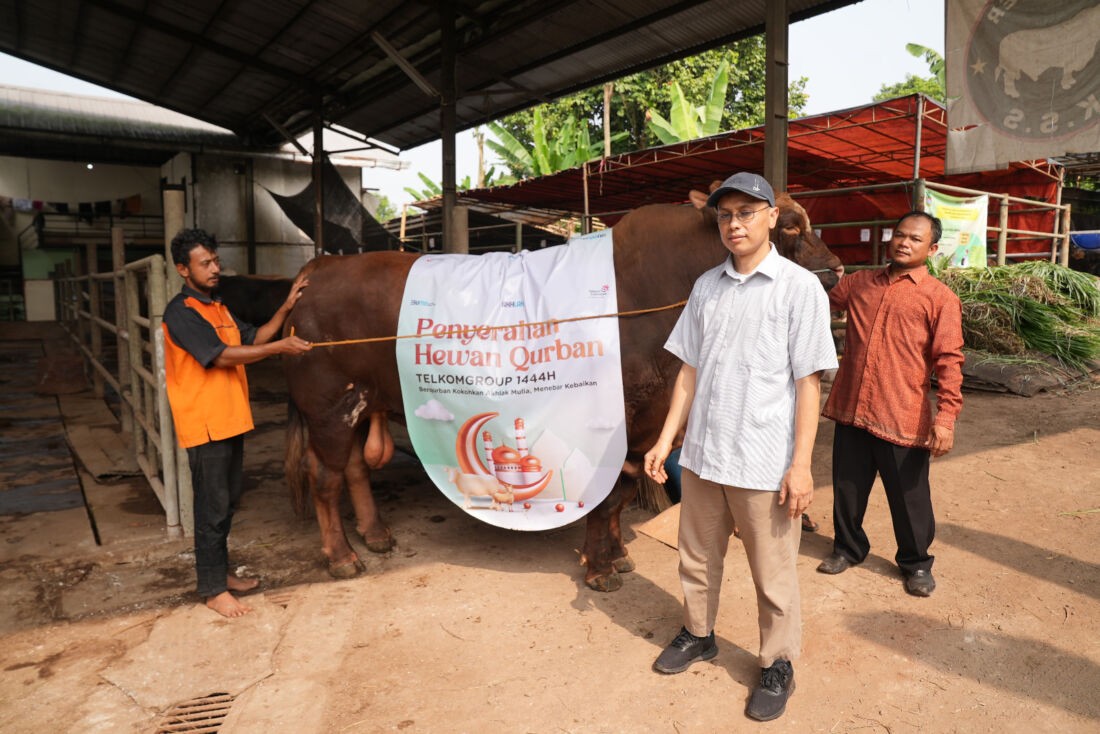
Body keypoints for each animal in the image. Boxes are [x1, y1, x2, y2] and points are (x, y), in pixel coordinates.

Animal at [283, 189, 840, 589]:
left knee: (354, 469)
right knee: (324, 478)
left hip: (359, 403)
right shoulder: (616, 420)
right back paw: (342, 557)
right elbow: (610, 495)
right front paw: (600, 568)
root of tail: (323, 267)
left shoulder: (645, 427)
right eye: (791, 226)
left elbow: (619, 495)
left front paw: (617, 555)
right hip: (329, 404)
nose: (836, 269)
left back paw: (376, 535)